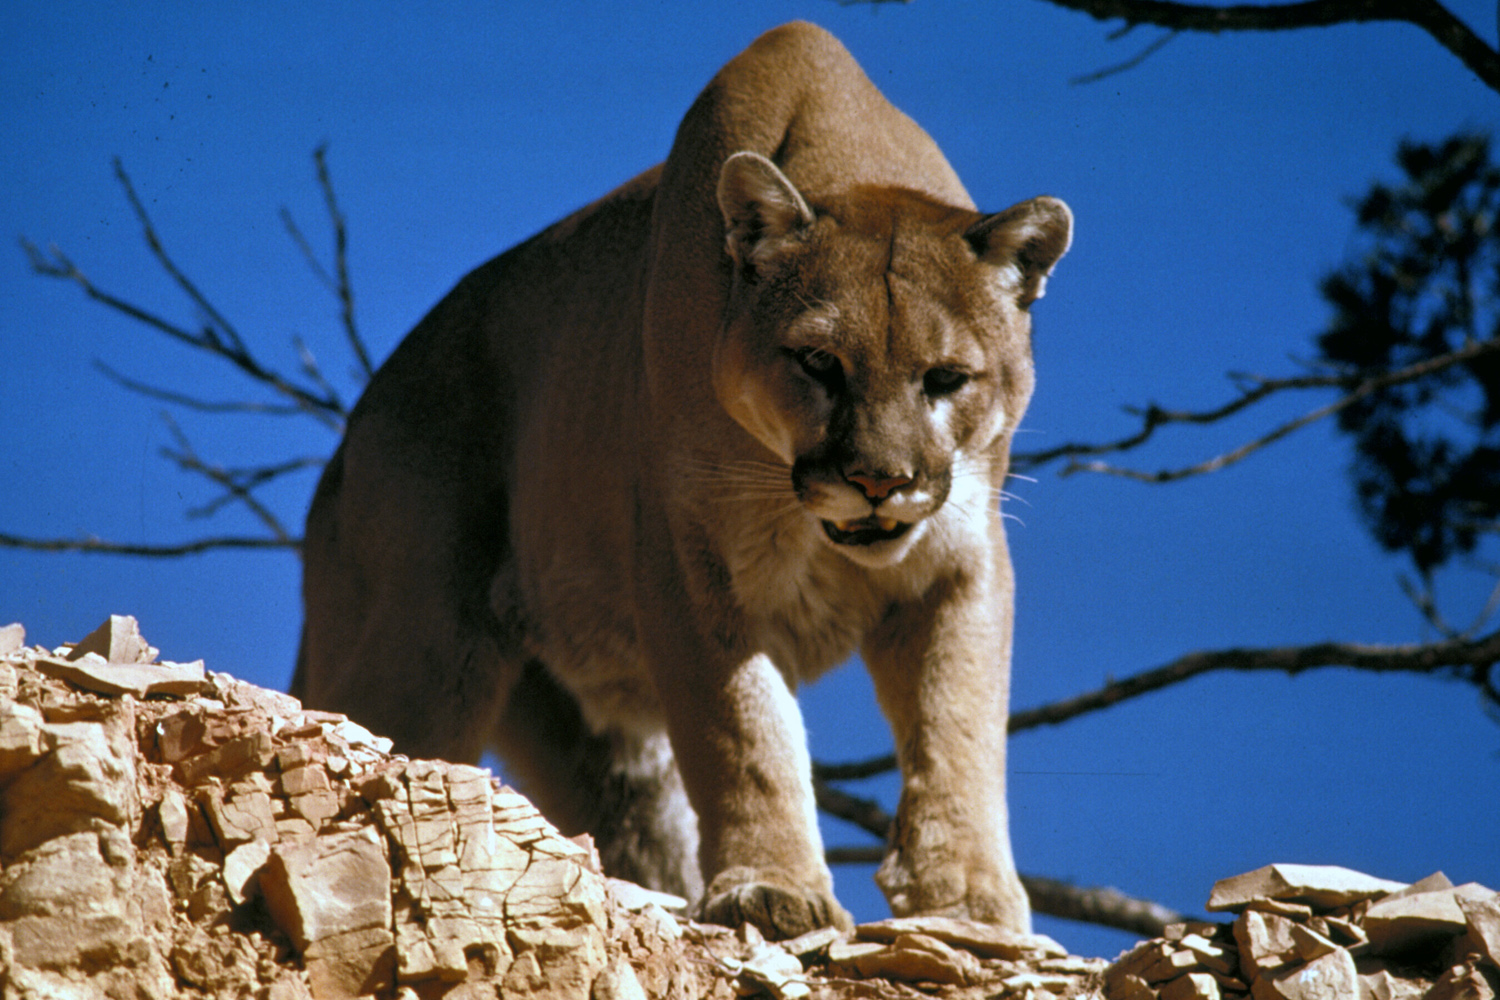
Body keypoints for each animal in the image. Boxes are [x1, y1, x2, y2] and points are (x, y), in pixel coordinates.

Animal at [295, 25, 1068, 947]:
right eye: (819, 363)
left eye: (947, 378)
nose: (879, 481)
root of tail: (348, 440)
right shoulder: (689, 562)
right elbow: (743, 731)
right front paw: (772, 890)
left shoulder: (960, 561)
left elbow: (959, 728)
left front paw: (969, 902)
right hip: (418, 650)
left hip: (590, 735)